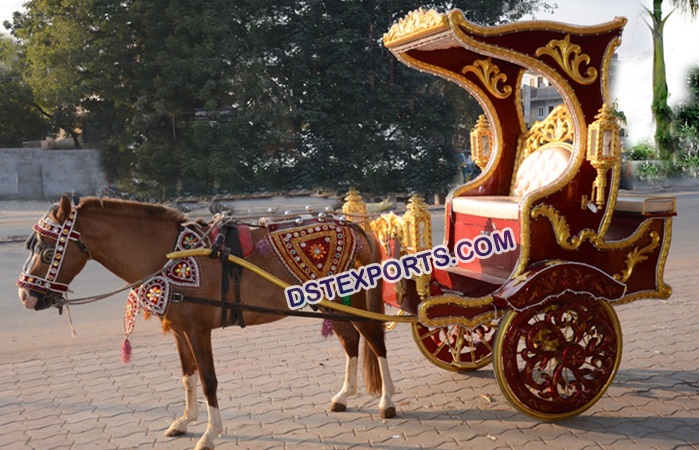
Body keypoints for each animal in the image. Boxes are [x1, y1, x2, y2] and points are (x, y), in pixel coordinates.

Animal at [16, 194, 396, 450]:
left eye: (48, 249)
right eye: (32, 245)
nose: (25, 296)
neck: (171, 254)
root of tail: (355, 226)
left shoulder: (199, 330)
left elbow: (209, 379)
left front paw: (211, 433)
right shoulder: (180, 329)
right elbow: (188, 375)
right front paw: (185, 420)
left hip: (354, 301)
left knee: (375, 341)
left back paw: (387, 402)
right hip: (332, 303)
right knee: (350, 341)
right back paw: (344, 395)